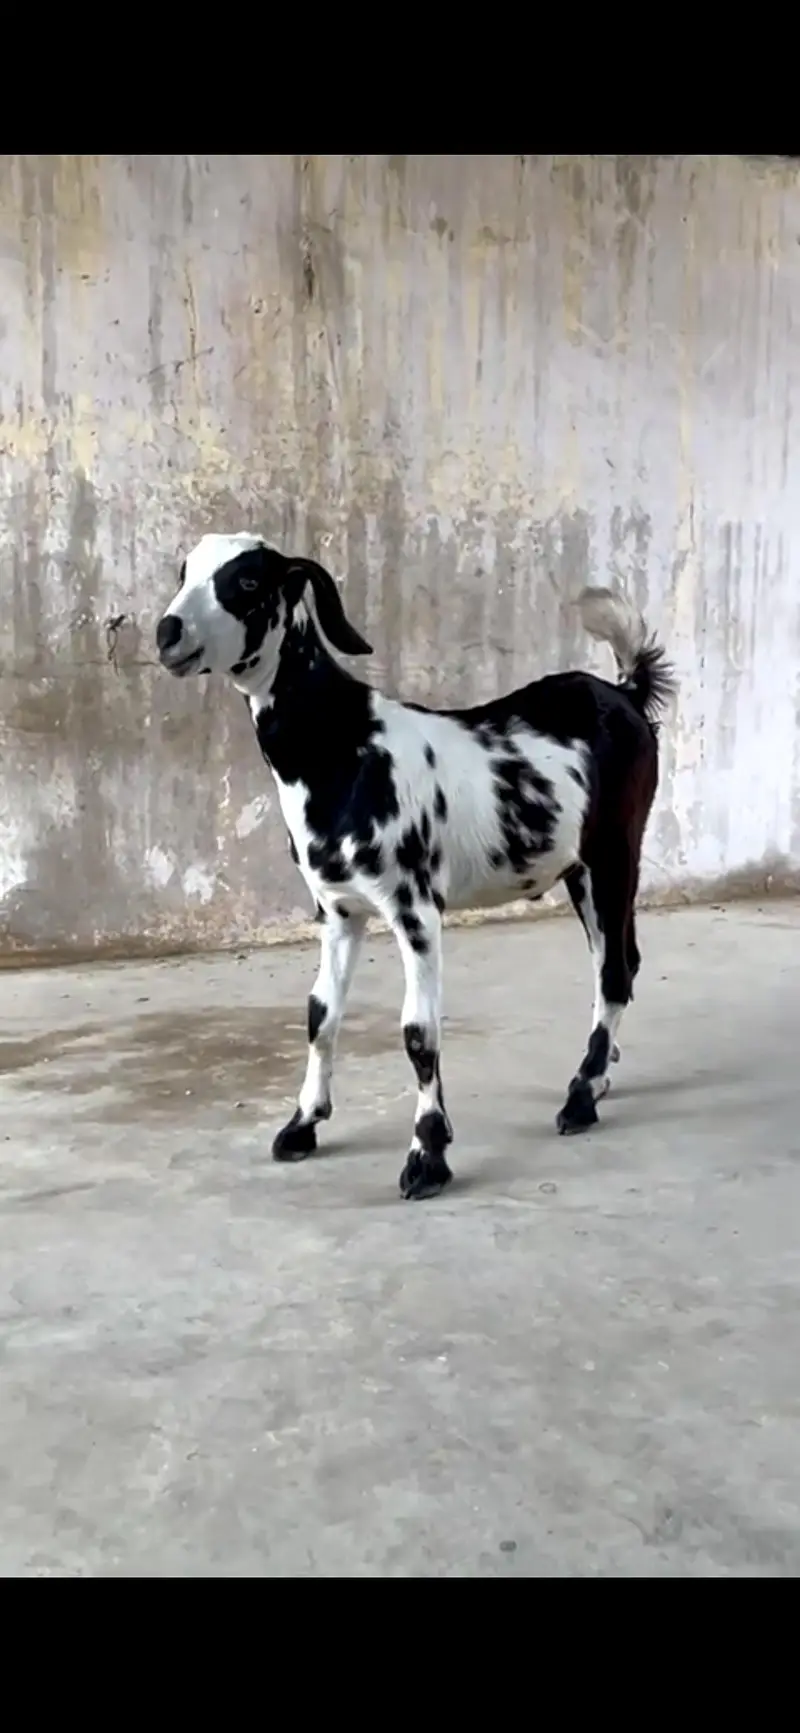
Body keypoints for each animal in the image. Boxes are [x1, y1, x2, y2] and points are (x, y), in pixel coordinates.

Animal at [155, 535, 675, 1201]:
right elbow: (320, 1014)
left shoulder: (415, 908)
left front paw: (427, 1157)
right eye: (184, 572)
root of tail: (627, 692)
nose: (168, 633)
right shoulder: (338, 910)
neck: (343, 744)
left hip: (614, 848)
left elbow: (418, 1033)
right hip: (579, 868)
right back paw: (599, 1075)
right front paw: (302, 1125)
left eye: (248, 582)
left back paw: (580, 1099)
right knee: (618, 962)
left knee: (613, 972)